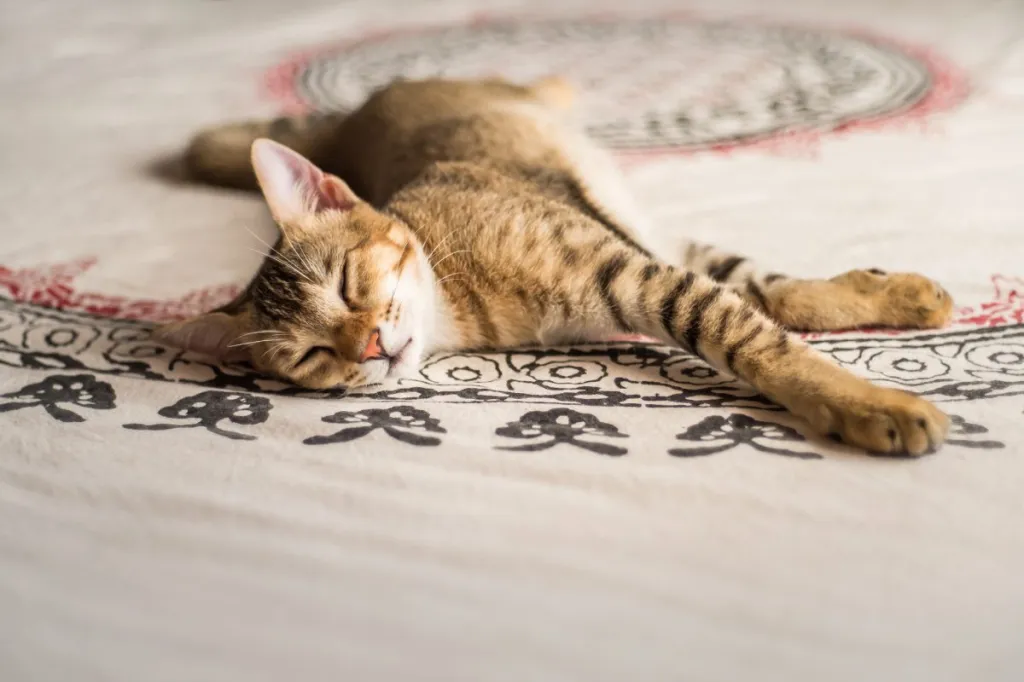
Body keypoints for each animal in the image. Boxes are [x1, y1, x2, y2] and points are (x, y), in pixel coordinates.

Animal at [159, 76, 950, 454]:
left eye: (350, 284)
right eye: (313, 357)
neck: (459, 298)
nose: (373, 348)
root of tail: (350, 123)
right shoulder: (651, 262)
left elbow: (768, 320)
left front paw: (876, 387)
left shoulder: (638, 265)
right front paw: (883, 366)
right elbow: (766, 305)